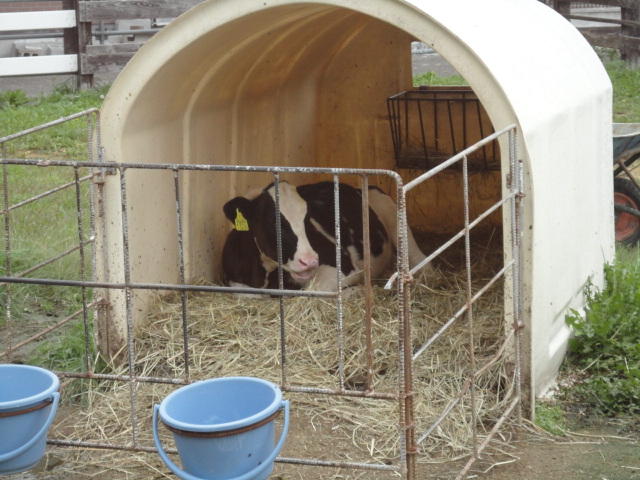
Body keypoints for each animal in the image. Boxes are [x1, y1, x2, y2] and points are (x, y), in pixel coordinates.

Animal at [221, 181, 425, 292]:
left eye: (307, 218)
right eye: (273, 222)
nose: (310, 260)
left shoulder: (345, 267)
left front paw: (357, 290)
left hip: (391, 210)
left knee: (418, 256)